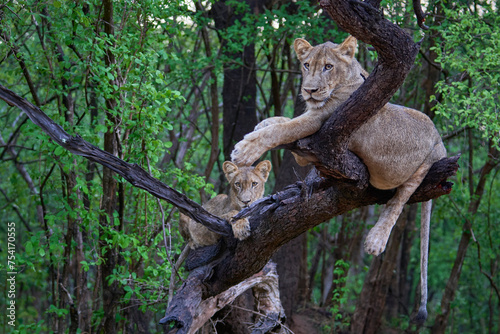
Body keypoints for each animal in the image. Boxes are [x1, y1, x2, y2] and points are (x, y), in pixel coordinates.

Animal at [230, 35, 446, 322]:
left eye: (328, 67)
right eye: (306, 64)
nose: (309, 90)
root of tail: (440, 139)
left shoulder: (321, 124)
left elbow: (284, 128)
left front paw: (245, 149)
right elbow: (283, 120)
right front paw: (263, 122)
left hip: (425, 163)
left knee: (400, 198)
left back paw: (376, 239)